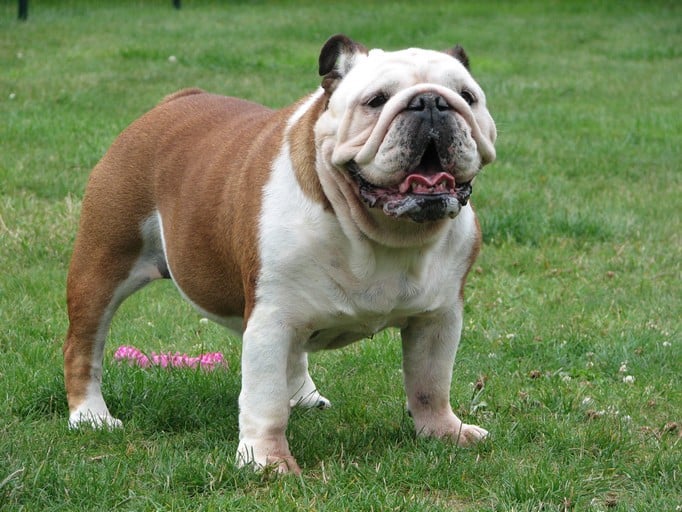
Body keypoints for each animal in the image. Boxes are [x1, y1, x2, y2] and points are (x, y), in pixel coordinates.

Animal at [64, 34, 497, 474]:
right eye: (376, 100)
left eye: (468, 96)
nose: (431, 103)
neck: (386, 233)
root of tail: (174, 100)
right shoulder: (271, 319)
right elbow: (265, 399)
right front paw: (266, 460)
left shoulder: (438, 318)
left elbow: (431, 382)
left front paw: (443, 432)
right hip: (102, 266)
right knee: (83, 346)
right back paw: (91, 416)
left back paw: (304, 395)